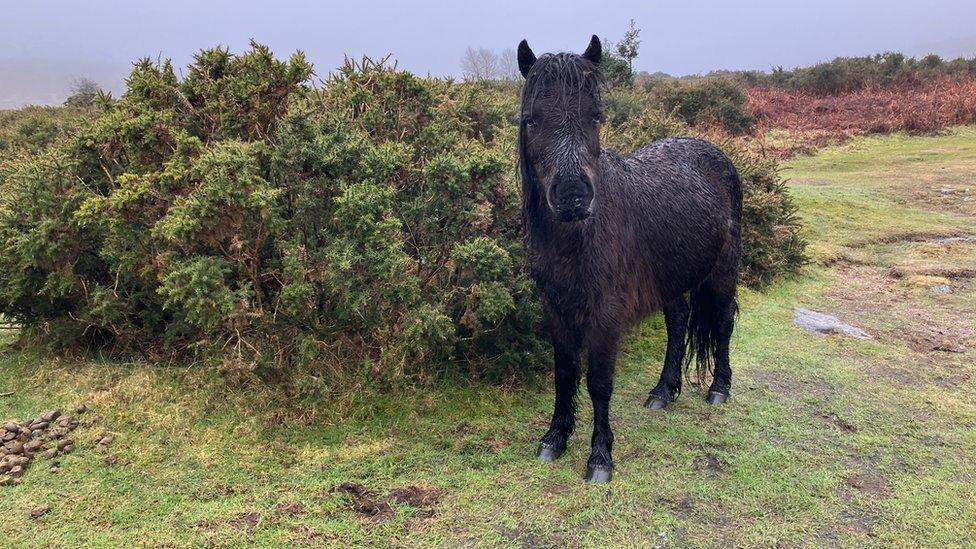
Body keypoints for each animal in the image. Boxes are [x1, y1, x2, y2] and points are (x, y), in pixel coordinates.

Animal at [520, 36, 740, 482]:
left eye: (596, 117)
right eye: (532, 120)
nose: (573, 196)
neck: (578, 238)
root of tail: (715, 152)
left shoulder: (606, 312)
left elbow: (599, 381)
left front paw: (600, 456)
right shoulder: (555, 306)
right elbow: (564, 373)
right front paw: (555, 437)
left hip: (722, 272)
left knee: (723, 325)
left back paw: (719, 388)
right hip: (673, 276)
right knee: (678, 324)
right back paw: (663, 391)